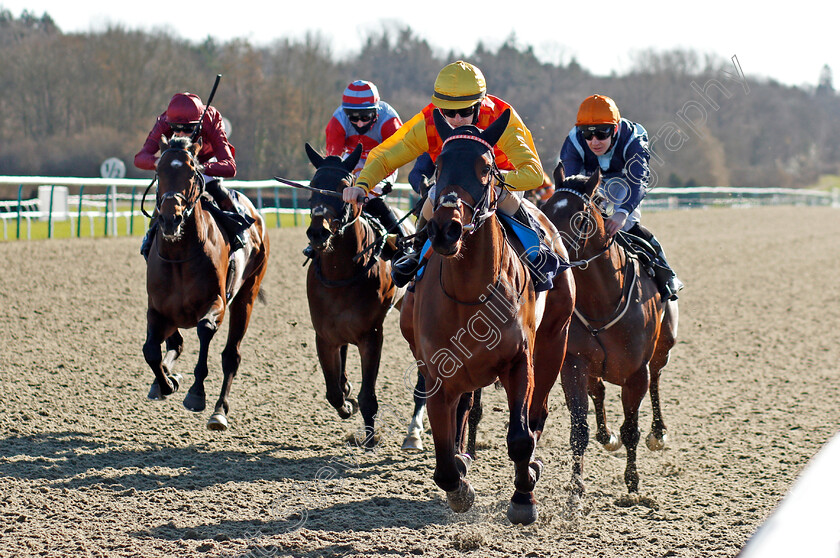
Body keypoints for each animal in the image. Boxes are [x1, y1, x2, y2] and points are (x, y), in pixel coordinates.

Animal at [144, 137, 268, 434]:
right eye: (158, 171)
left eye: (191, 172)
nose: (171, 219)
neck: (179, 254)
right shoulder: (157, 309)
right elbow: (151, 351)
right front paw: (166, 383)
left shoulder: (216, 303)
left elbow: (205, 330)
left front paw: (196, 393)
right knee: (175, 344)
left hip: (246, 296)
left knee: (231, 356)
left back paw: (219, 411)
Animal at [302, 143, 410, 450]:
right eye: (313, 185)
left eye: (343, 188)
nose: (318, 232)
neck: (341, 273)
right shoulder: (324, 334)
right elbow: (333, 391)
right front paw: (346, 403)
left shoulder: (371, 335)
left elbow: (368, 396)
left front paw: (371, 438)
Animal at [402, 110, 584, 528]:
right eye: (439, 164)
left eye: (485, 168)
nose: (446, 228)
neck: (469, 293)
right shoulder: (438, 373)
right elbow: (443, 458)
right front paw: (459, 487)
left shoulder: (519, 361)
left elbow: (520, 436)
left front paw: (523, 498)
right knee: (464, 411)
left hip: (555, 342)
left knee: (537, 412)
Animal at [540, 164, 680, 496]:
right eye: (545, 210)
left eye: (581, 218)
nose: (549, 254)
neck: (601, 300)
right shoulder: (574, 363)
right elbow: (579, 428)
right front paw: (576, 488)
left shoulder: (636, 372)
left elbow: (631, 428)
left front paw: (632, 483)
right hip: (596, 368)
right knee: (599, 392)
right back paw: (607, 437)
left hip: (663, 347)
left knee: (656, 381)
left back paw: (658, 433)